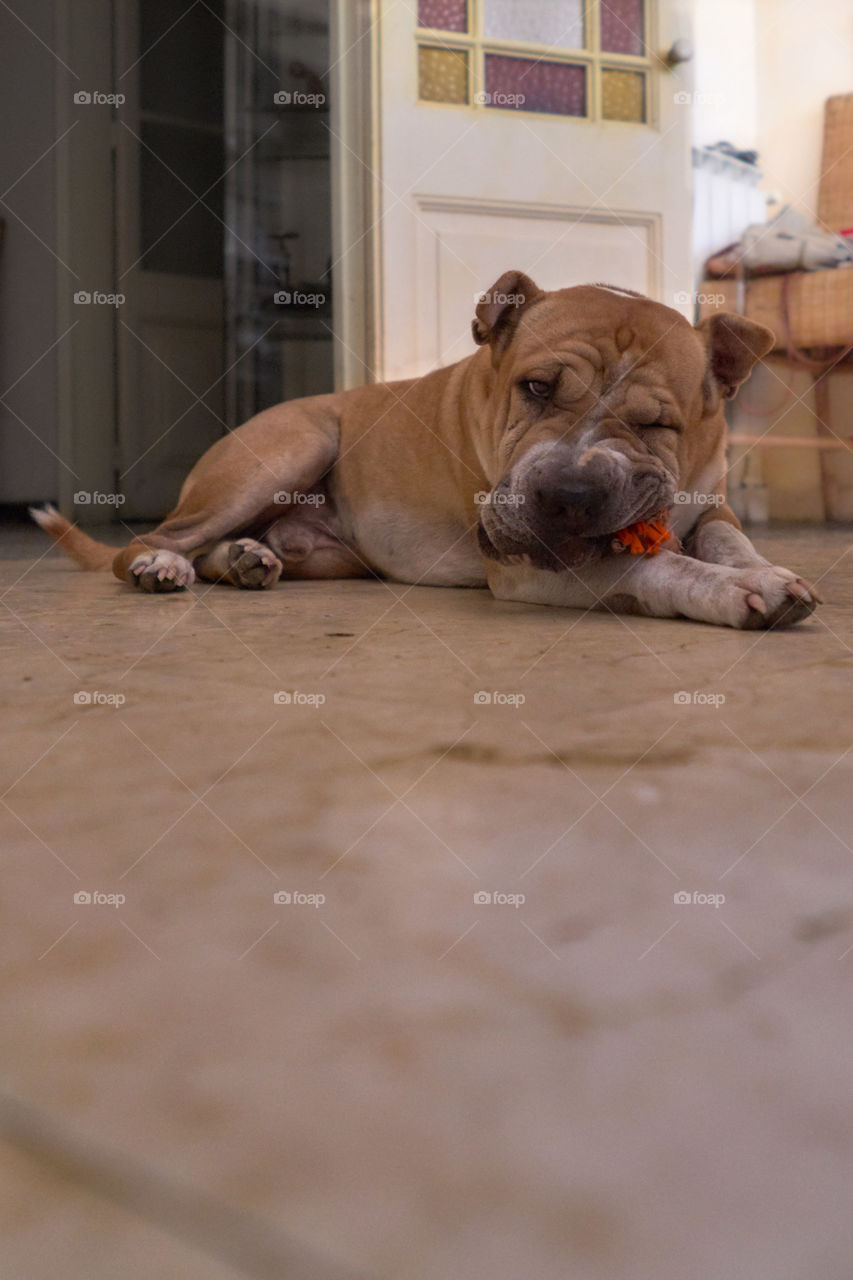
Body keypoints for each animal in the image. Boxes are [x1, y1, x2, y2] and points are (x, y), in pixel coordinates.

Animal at [31, 272, 819, 627]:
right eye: (535, 388)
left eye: (659, 424)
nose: (567, 495)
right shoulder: (529, 566)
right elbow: (657, 565)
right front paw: (732, 591)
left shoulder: (712, 504)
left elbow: (726, 540)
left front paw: (760, 569)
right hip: (294, 444)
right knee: (157, 539)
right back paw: (162, 566)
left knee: (229, 545)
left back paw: (247, 559)